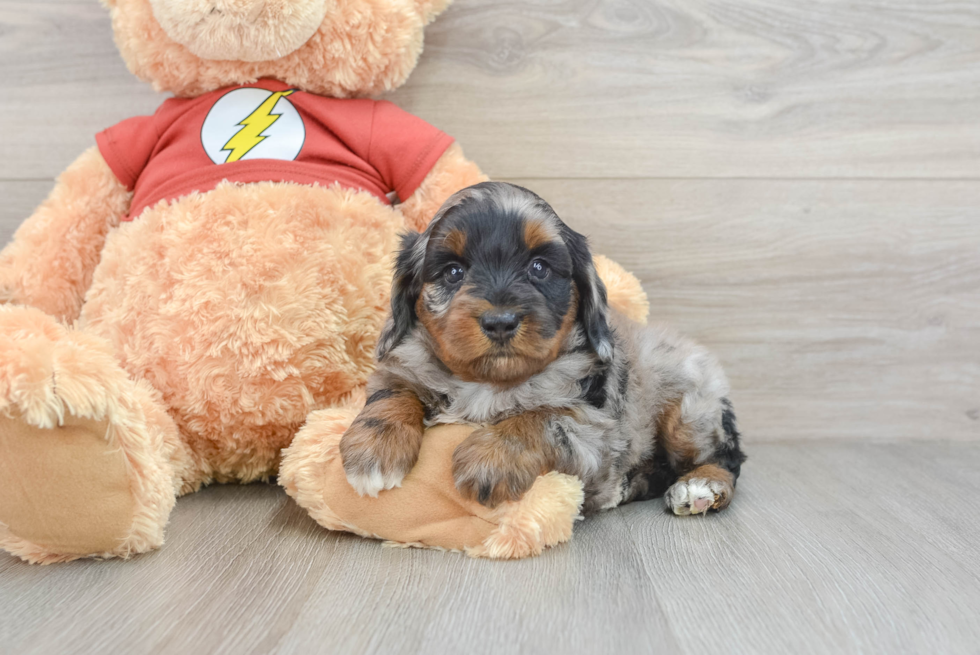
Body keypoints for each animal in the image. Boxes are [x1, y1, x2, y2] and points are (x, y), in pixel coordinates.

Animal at [340, 182, 748, 516]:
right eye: (453, 271)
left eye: (539, 267)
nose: (500, 321)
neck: (489, 383)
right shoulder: (402, 366)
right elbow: (393, 393)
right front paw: (374, 448)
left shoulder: (597, 432)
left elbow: (541, 418)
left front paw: (492, 458)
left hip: (690, 411)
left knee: (727, 457)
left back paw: (701, 486)